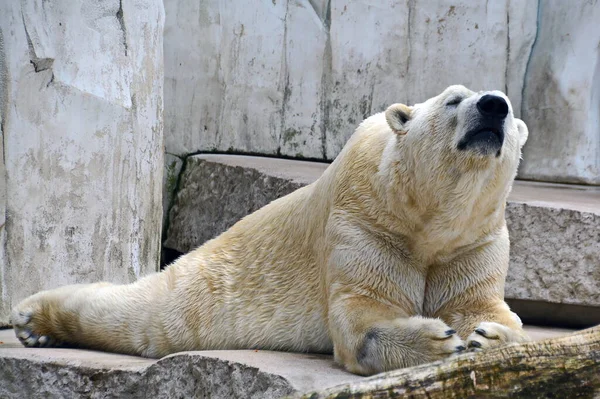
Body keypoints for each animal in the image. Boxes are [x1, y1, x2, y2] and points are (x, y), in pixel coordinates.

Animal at [10, 84, 528, 376]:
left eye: (509, 104)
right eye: (453, 99)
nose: (494, 106)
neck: (426, 216)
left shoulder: (473, 240)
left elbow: (479, 306)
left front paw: (489, 337)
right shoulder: (367, 221)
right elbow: (364, 313)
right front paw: (438, 340)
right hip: (212, 281)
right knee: (148, 316)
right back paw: (33, 319)